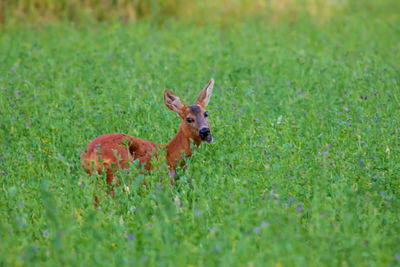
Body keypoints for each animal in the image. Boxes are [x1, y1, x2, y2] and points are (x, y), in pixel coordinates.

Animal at [79, 77, 214, 186]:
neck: (169, 154)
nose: (205, 132)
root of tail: (91, 154)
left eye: (206, 113)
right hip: (122, 168)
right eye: (189, 119)